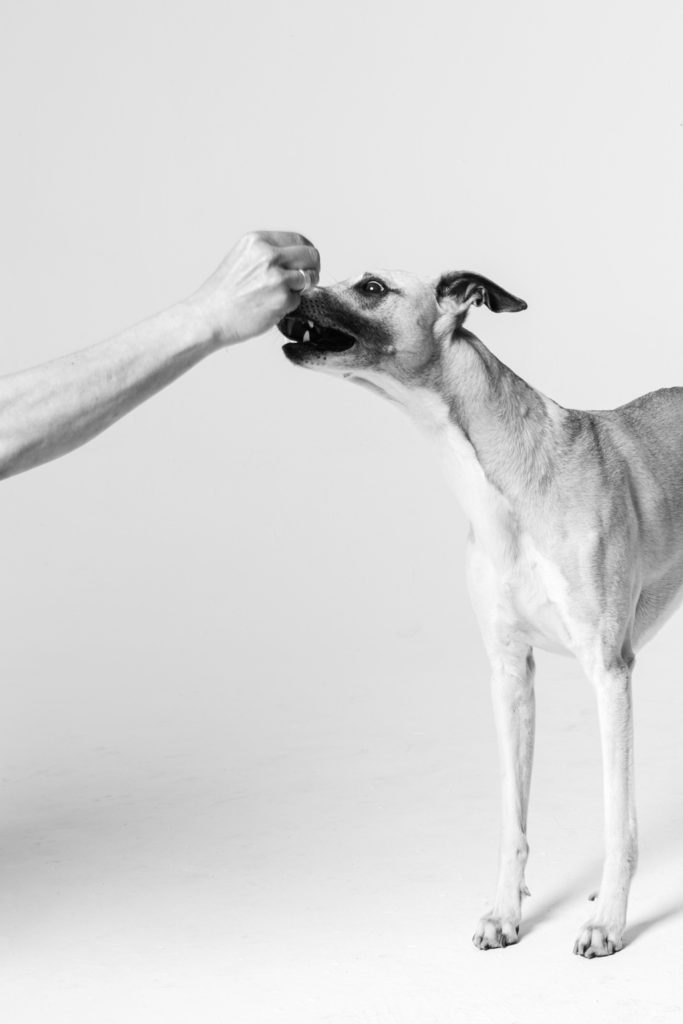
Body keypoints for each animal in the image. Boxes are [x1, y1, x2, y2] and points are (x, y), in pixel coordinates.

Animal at [278, 268, 683, 954]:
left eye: (372, 286)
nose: (288, 287)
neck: (511, 474)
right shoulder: (510, 672)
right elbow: (512, 815)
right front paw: (504, 912)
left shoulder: (609, 672)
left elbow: (616, 816)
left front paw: (608, 919)